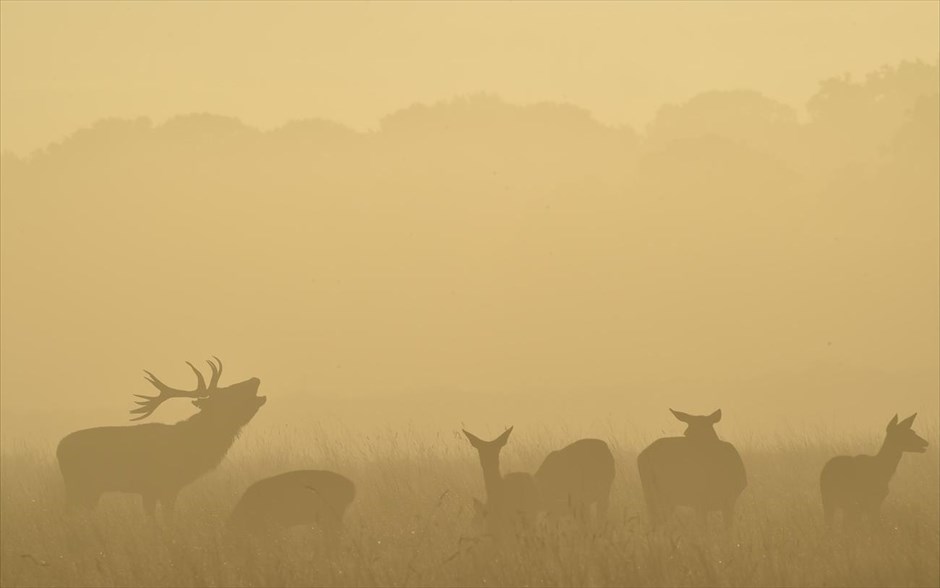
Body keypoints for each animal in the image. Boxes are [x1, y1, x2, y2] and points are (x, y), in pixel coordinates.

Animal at [56, 358, 264, 520]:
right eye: (227, 393)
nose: (255, 379)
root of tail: (58, 449)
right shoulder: (163, 485)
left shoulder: (155, 490)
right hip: (78, 485)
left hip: (90, 490)